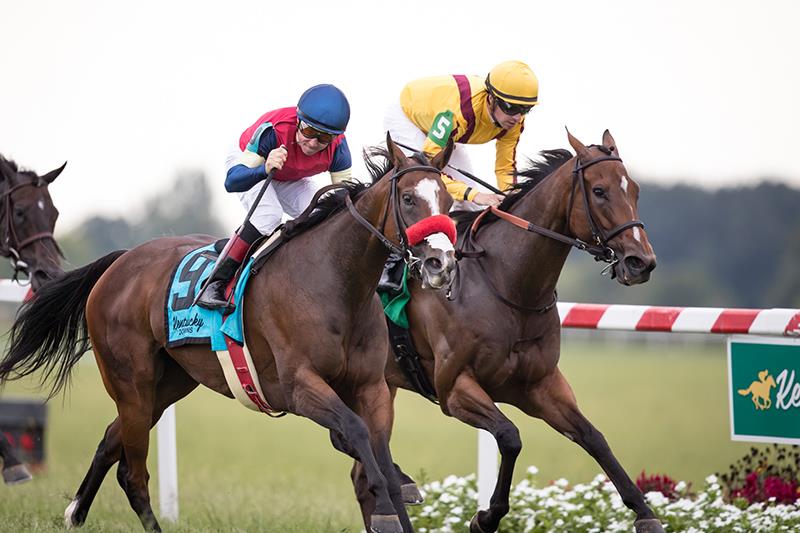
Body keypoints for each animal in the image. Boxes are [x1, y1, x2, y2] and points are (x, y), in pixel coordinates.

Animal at [0, 135, 458, 533]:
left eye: (449, 201)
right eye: (408, 198)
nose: (442, 263)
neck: (335, 282)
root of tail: (119, 262)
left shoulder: (371, 387)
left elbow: (378, 452)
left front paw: (398, 497)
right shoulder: (299, 387)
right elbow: (357, 433)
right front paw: (384, 508)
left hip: (168, 384)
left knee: (111, 442)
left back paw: (76, 512)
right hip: (131, 382)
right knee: (133, 473)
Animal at [351, 130, 665, 533]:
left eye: (635, 190)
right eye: (599, 191)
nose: (641, 262)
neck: (507, 285)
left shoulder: (541, 384)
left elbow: (594, 437)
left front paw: (645, 513)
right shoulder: (455, 390)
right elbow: (510, 437)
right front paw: (486, 517)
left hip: (377, 385)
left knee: (362, 473)